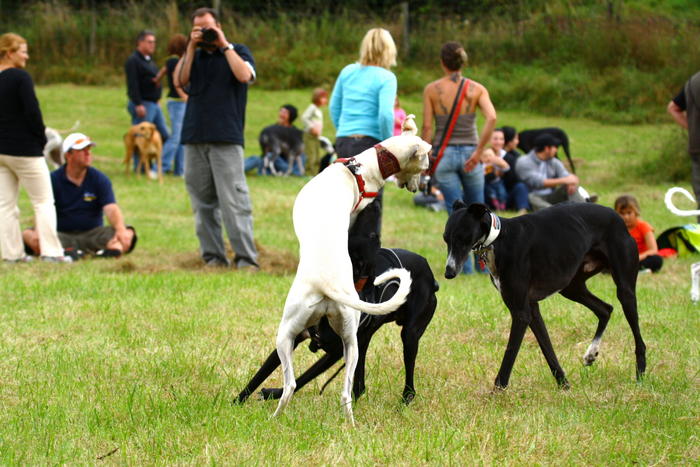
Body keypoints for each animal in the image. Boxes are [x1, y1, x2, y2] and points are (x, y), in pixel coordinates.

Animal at [238, 204, 440, 406]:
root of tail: (430, 275)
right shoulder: (294, 337)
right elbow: (259, 376)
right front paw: (237, 402)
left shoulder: (333, 353)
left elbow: (303, 378)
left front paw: (273, 393)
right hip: (363, 340)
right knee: (360, 386)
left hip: (409, 335)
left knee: (408, 377)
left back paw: (405, 399)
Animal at [442, 203, 644, 390]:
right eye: (445, 239)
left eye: (462, 237)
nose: (448, 273)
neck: (499, 238)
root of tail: (617, 217)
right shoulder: (531, 309)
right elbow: (548, 350)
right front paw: (564, 386)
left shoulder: (521, 313)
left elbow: (510, 353)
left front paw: (497, 391)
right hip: (572, 287)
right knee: (605, 309)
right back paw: (591, 353)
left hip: (624, 290)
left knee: (637, 336)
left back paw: (640, 376)